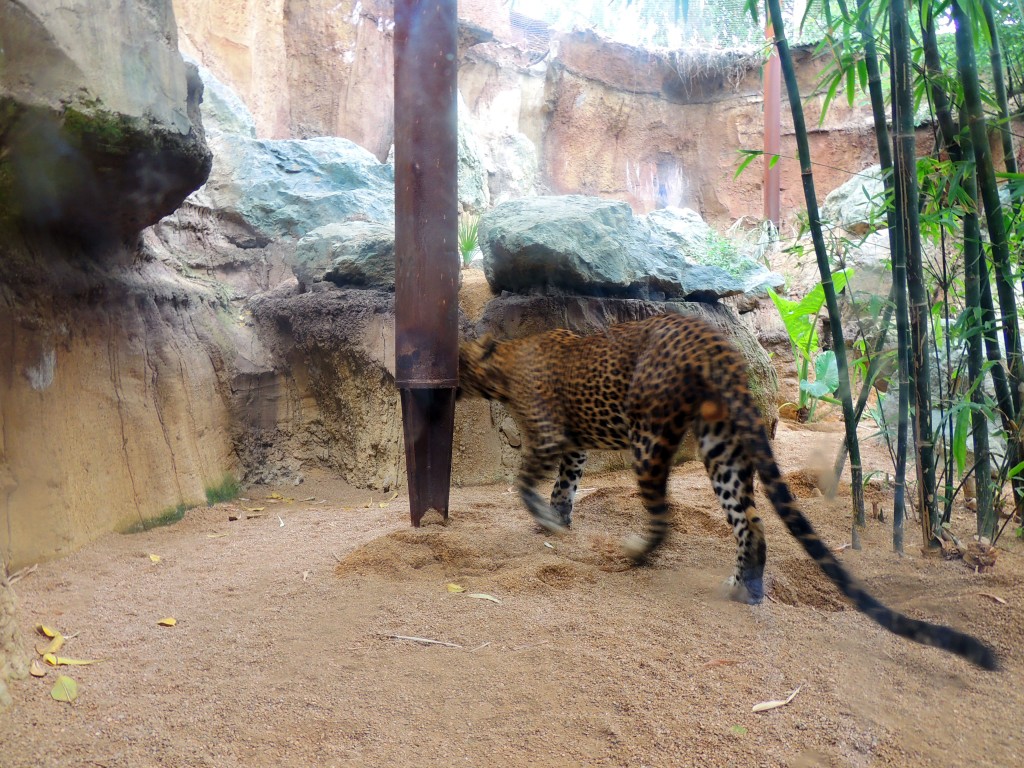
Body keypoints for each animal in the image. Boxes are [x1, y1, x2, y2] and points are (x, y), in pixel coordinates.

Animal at [462, 309, 999, 671]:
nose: (451, 378)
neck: (506, 360)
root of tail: (713, 339)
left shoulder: (548, 435)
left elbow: (525, 481)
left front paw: (544, 519)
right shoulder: (573, 447)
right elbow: (565, 486)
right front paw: (557, 522)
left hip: (649, 434)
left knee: (665, 514)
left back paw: (638, 554)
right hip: (722, 442)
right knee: (751, 523)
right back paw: (745, 589)